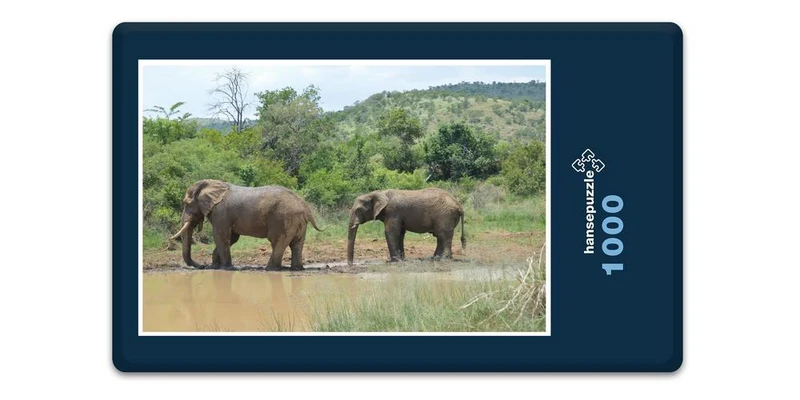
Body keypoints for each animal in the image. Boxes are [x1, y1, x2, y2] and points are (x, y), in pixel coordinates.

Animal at [169, 179, 323, 271]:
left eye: (186, 203)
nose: (202, 266)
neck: (210, 184)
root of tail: (304, 206)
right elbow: (232, 238)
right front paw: (215, 267)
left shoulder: (221, 212)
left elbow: (221, 236)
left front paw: (226, 268)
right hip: (298, 222)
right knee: (296, 244)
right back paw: (297, 269)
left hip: (283, 219)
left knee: (277, 241)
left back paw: (269, 269)